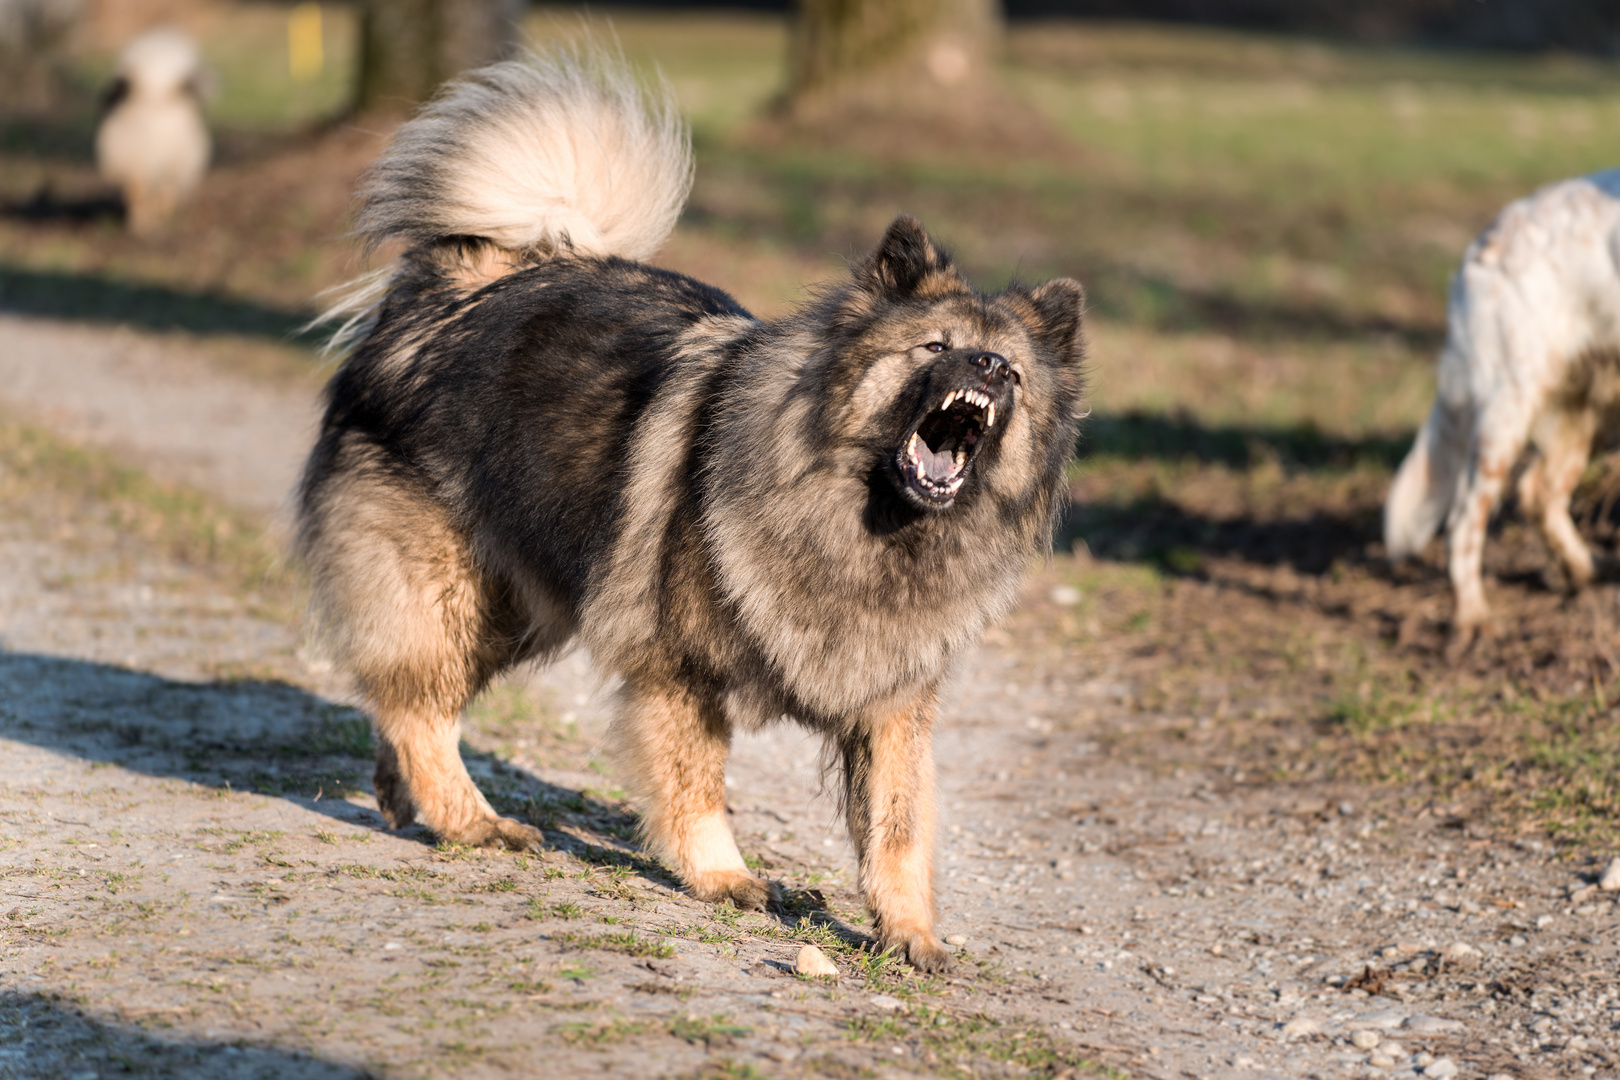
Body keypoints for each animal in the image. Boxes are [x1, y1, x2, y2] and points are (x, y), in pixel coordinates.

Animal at [95, 30, 210, 238]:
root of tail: (155, 94)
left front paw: (144, 223)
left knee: (146, 192)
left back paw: (146, 223)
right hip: (166, 159)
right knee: (158, 192)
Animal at [301, 48, 1088, 971]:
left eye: (1014, 370)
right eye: (936, 347)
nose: (989, 367)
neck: (863, 523)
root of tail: (465, 284)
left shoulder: (892, 702)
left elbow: (898, 828)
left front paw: (910, 932)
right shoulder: (678, 664)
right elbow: (696, 782)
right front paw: (723, 876)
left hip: (517, 605)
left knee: (410, 699)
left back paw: (404, 799)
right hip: (447, 583)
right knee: (421, 705)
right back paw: (474, 822)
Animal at [1380, 172, 1620, 637]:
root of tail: (1488, 237)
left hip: (1591, 412)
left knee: (1538, 492)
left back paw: (1585, 571)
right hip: (1507, 410)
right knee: (1464, 523)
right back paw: (1474, 619)